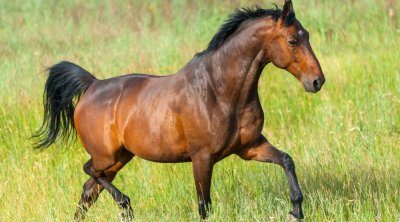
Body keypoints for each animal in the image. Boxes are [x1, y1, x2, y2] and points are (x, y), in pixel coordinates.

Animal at [32, 0, 324, 221]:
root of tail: (92, 85)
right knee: (89, 171)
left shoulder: (250, 147)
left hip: (119, 158)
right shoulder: (202, 158)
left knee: (88, 191)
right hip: (106, 156)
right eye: (292, 41)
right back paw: (126, 204)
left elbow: (286, 160)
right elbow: (204, 206)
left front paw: (296, 211)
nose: (317, 81)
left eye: (307, 35)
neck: (220, 91)